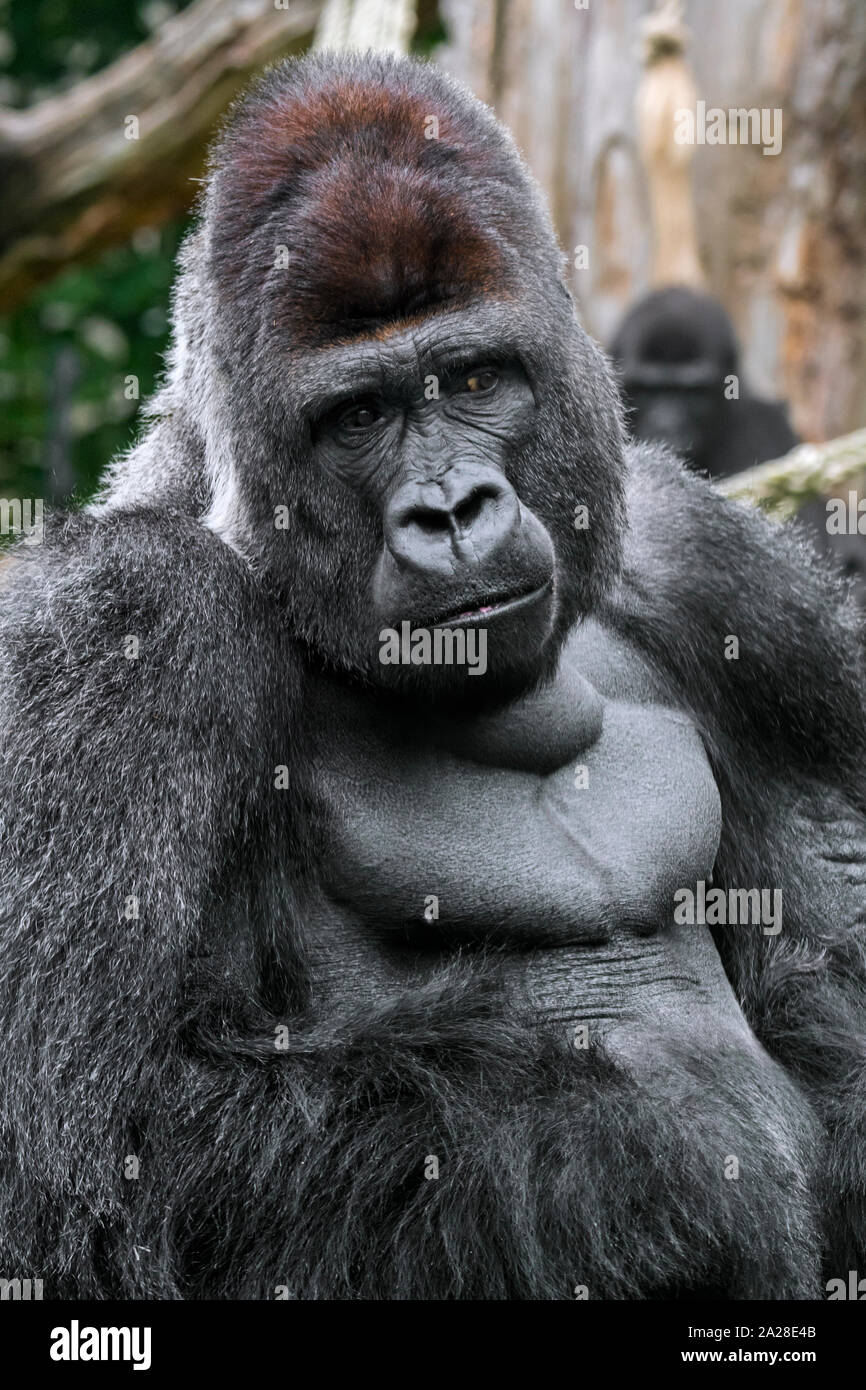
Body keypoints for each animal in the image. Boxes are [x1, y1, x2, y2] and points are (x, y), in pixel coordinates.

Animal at [1, 54, 866, 1301]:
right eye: (358, 412)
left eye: (469, 378)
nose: (452, 510)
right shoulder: (127, 617)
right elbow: (85, 1158)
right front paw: (669, 1159)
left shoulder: (710, 563)